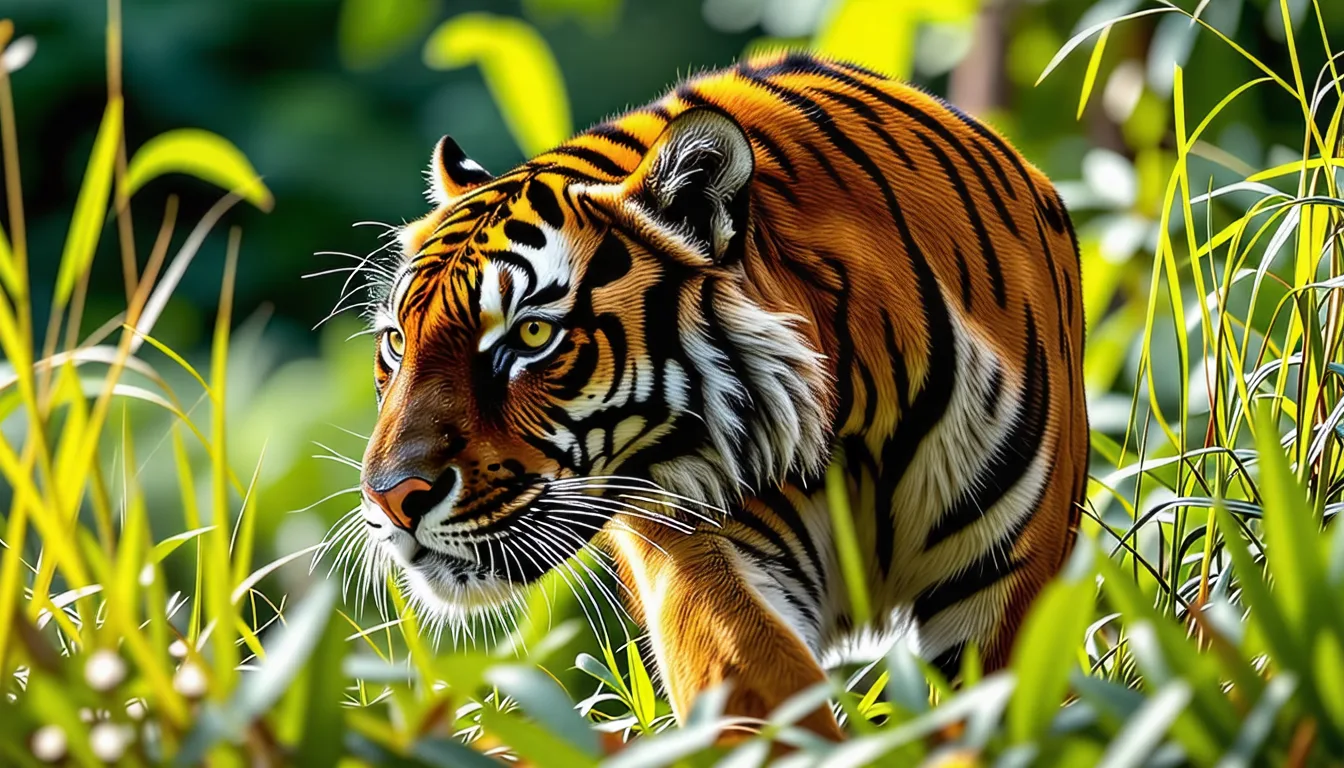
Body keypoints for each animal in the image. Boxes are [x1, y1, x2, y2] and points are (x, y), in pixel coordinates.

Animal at [351, 50, 1087, 740]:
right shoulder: (700, 551)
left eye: (532, 334)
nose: (391, 497)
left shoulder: (1006, 583)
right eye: (396, 341)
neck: (845, 402)